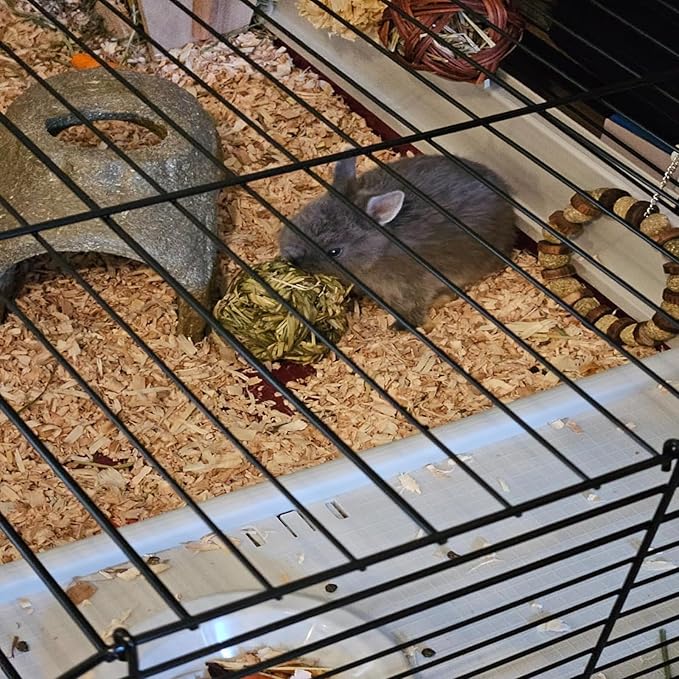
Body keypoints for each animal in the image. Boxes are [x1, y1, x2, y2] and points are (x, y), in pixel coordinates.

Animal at [278, 154, 517, 329]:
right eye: (301, 218)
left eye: (335, 252)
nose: (292, 259)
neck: (377, 251)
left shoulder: (414, 286)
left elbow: (414, 309)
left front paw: (399, 327)